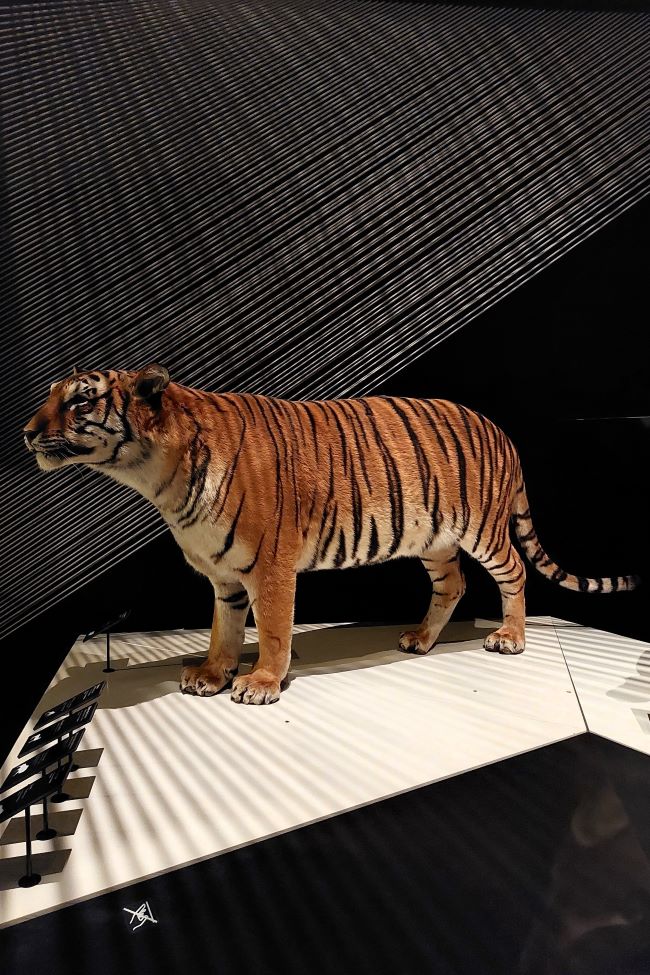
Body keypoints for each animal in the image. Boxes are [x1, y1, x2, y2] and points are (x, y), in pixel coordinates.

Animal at [24, 363, 638, 705]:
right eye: (49, 395)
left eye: (80, 399)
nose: (26, 432)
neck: (157, 476)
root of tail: (501, 429)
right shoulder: (224, 576)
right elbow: (223, 629)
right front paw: (212, 673)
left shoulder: (269, 566)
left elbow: (273, 629)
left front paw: (261, 683)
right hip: (434, 541)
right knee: (454, 585)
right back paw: (420, 638)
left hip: (483, 529)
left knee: (513, 572)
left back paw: (510, 636)